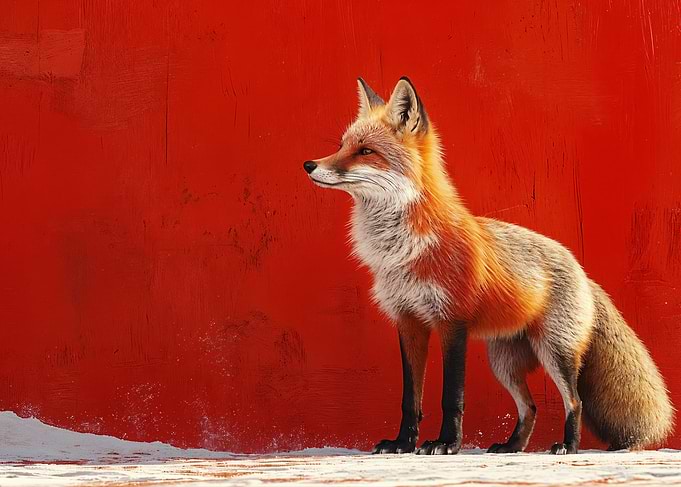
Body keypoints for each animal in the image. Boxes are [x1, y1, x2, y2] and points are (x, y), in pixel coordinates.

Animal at [303, 76, 675, 455]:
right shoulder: (408, 322)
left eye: (365, 151)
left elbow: (452, 397)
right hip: (503, 363)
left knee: (574, 400)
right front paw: (402, 443)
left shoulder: (452, 321)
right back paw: (511, 447)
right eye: (342, 145)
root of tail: (579, 267)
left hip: (554, 351)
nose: (309, 165)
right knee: (531, 406)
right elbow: (411, 399)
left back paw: (567, 446)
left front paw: (446, 444)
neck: (402, 250)